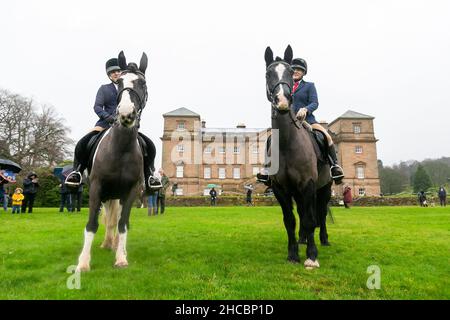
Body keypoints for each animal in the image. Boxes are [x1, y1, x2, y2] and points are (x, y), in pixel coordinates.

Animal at [76, 51, 149, 272]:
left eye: (143, 83)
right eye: (119, 82)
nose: (126, 114)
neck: (121, 149)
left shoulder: (132, 190)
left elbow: (123, 223)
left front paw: (121, 258)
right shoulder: (96, 187)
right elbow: (92, 224)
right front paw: (83, 263)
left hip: (117, 194)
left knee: (114, 219)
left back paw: (115, 245)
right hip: (107, 193)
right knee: (108, 218)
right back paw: (107, 243)